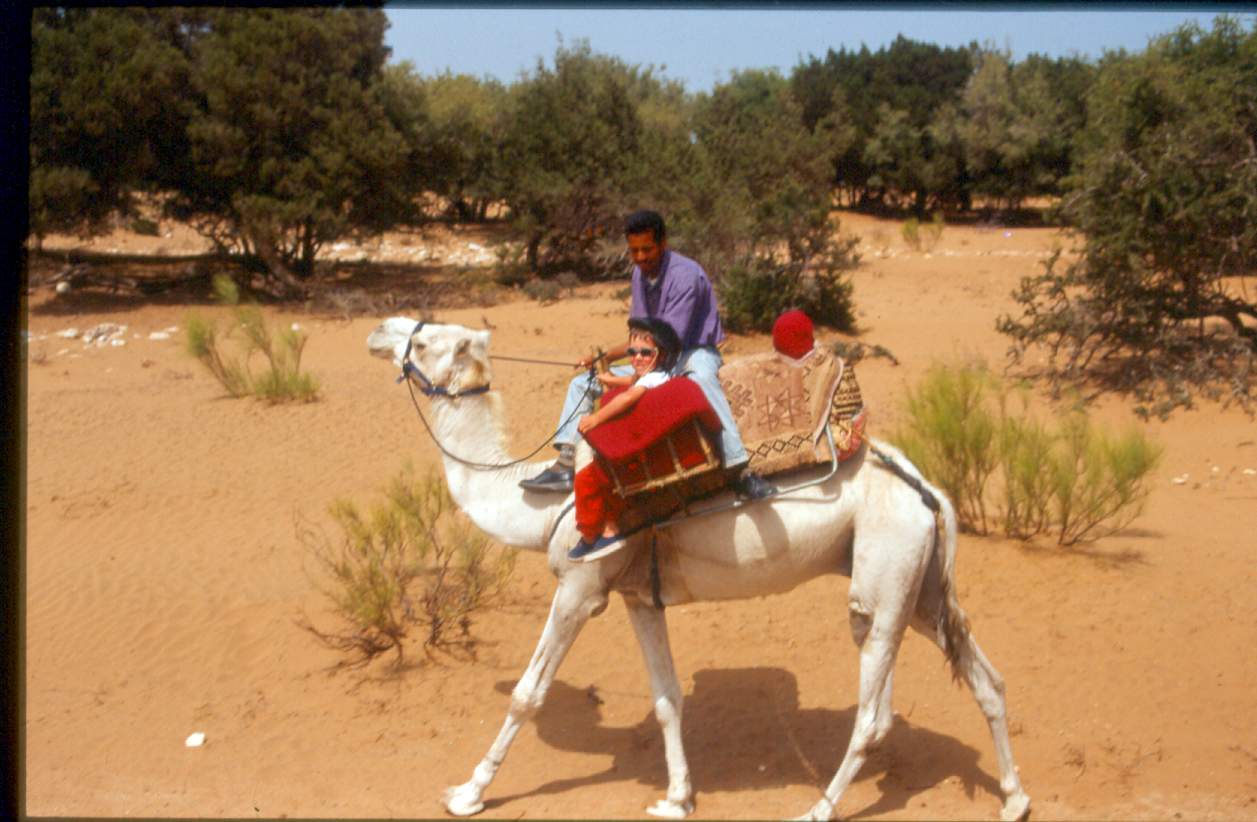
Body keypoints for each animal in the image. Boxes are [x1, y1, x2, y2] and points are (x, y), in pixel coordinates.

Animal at [367, 319, 1030, 819]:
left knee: (873, 713)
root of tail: (927, 489)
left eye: (427, 342)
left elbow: (528, 695)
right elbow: (666, 698)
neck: (536, 502)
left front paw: (467, 792)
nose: (378, 332)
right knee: (984, 677)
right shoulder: (637, 594)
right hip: (920, 582)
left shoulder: (581, 585)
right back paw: (1015, 799)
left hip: (885, 576)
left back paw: (818, 808)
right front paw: (677, 798)